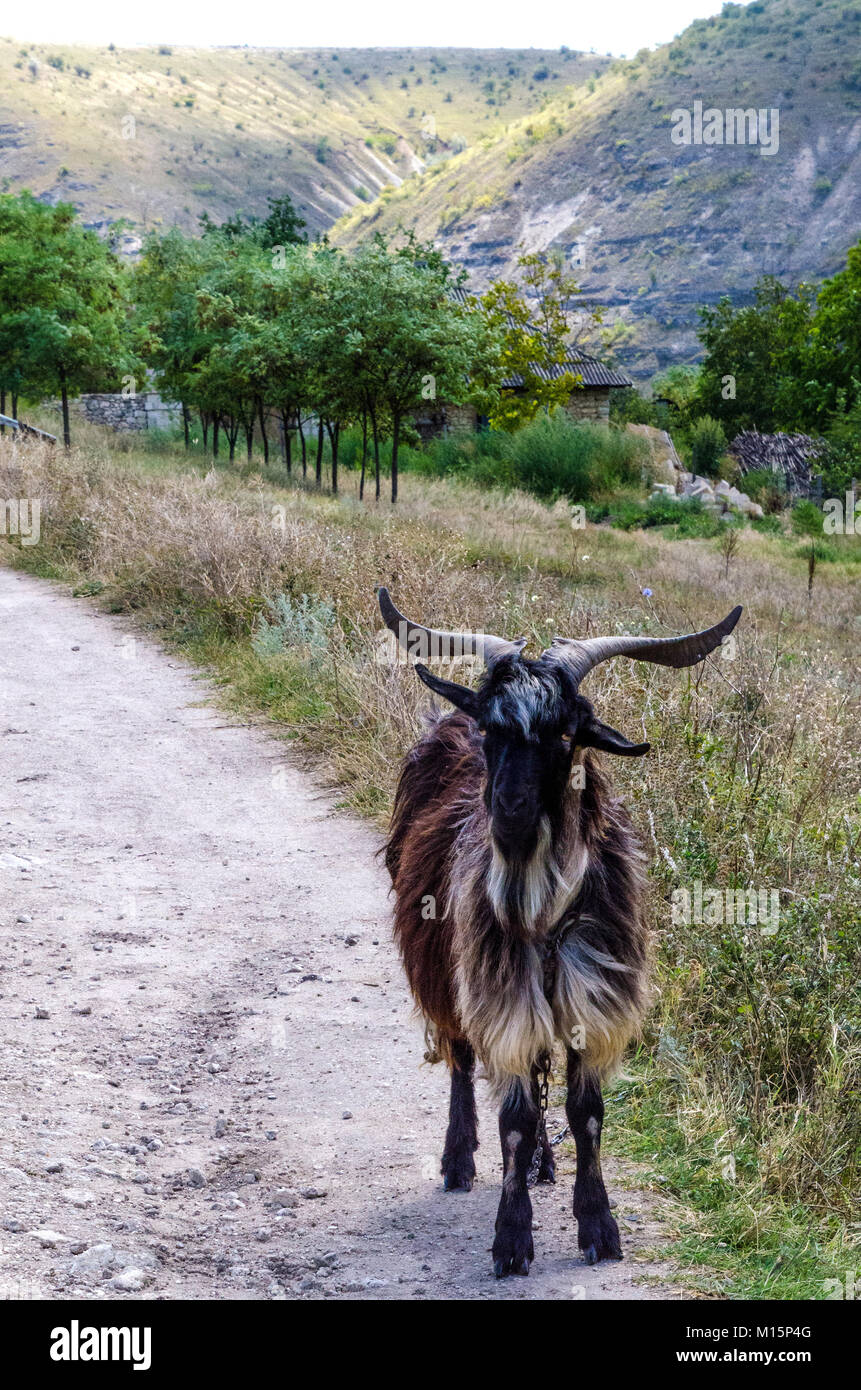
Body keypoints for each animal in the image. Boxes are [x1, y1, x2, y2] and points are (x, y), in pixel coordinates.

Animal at [381, 581, 745, 1273]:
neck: (544, 909)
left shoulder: (590, 995)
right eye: (492, 727)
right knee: (461, 1059)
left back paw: (545, 1166)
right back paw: (458, 1158)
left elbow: (585, 1112)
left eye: (567, 733)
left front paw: (599, 1226)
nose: (510, 811)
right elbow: (516, 1119)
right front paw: (511, 1238)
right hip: (446, 969)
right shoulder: (503, 994)